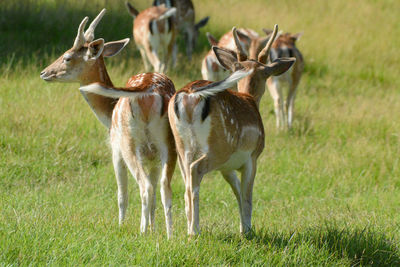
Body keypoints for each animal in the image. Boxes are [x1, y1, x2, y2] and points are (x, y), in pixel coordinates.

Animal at [39, 8, 176, 239]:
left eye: (67, 57)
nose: (44, 72)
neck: (109, 110)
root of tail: (150, 92)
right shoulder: (153, 158)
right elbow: (156, 194)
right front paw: (154, 230)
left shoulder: (115, 148)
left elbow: (122, 195)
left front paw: (123, 226)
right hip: (168, 143)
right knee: (165, 188)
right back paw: (170, 235)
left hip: (129, 143)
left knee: (144, 187)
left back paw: (141, 231)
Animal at [167, 24, 296, 234]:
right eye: (266, 74)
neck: (250, 100)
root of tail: (189, 97)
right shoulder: (252, 157)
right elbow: (247, 194)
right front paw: (248, 230)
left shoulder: (227, 167)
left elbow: (236, 189)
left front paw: (244, 227)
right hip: (219, 146)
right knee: (196, 171)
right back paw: (195, 231)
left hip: (181, 148)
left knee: (186, 185)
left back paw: (188, 228)